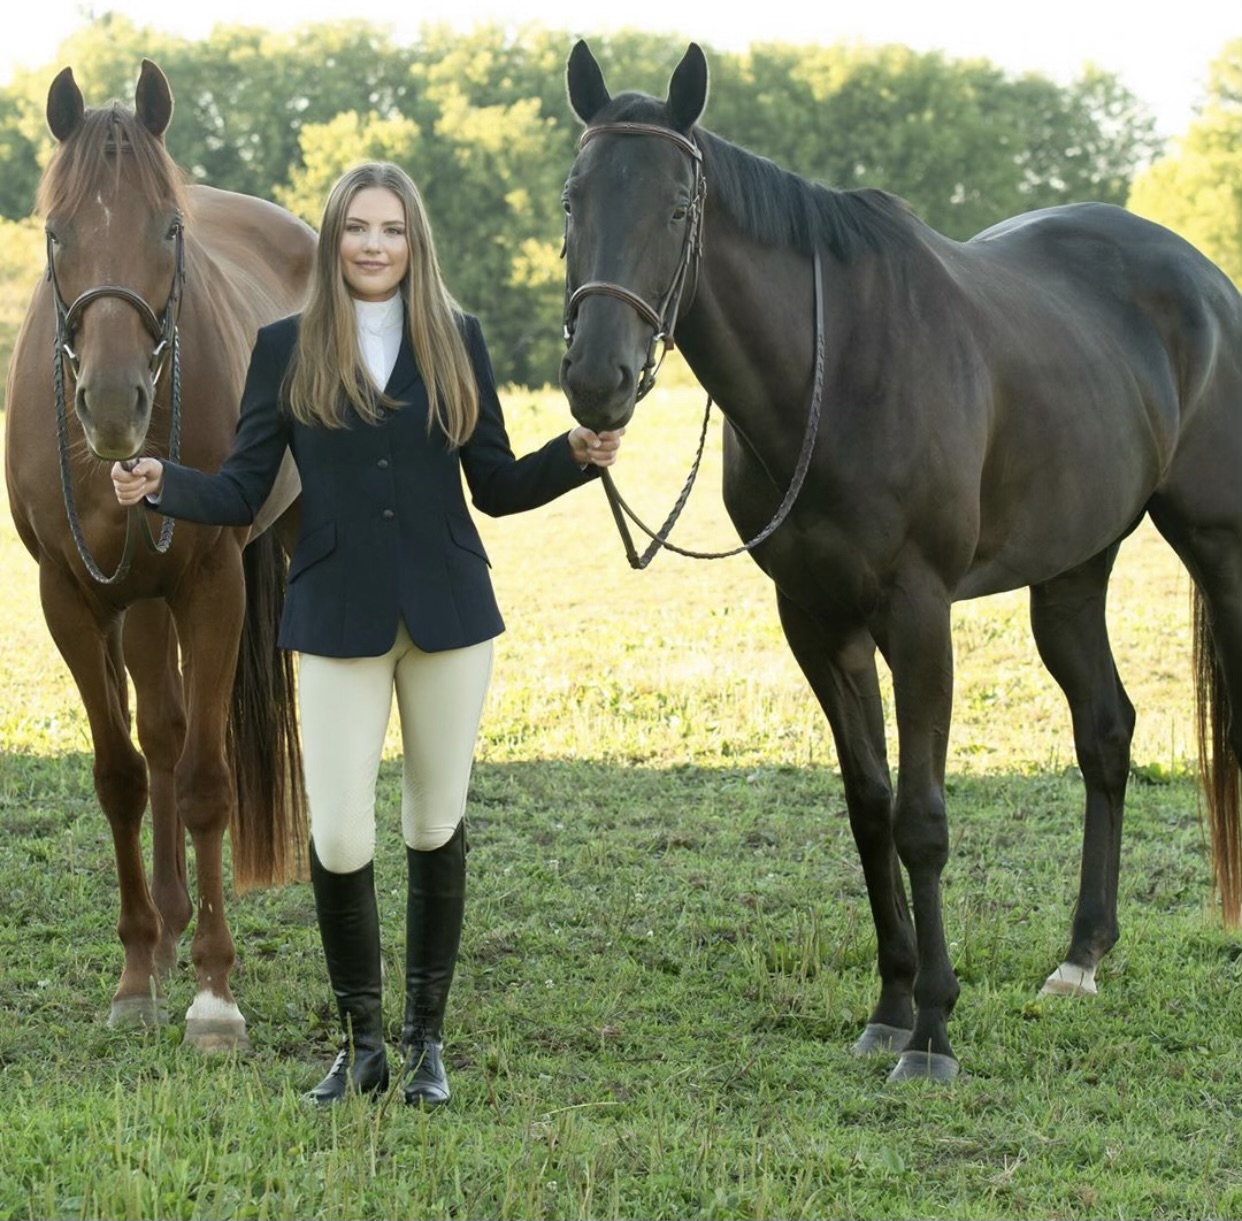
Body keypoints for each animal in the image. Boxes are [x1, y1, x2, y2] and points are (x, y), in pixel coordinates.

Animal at [6, 59, 315, 1048]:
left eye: (169, 229)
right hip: (138, 600)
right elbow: (122, 775)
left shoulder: (212, 587)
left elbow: (211, 783)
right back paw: (172, 924)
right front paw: (138, 971)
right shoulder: (70, 597)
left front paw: (216, 995)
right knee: (164, 733)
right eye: (55, 231)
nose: (113, 404)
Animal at [558, 42, 1242, 1083]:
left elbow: (923, 818)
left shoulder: (918, 615)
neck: (832, 371)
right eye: (572, 199)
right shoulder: (815, 618)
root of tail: (1208, 280)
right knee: (1106, 730)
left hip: (1218, 543)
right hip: (1072, 572)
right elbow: (870, 806)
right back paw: (1081, 954)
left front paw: (933, 1032)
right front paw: (889, 1006)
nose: (598, 380)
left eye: (678, 208)